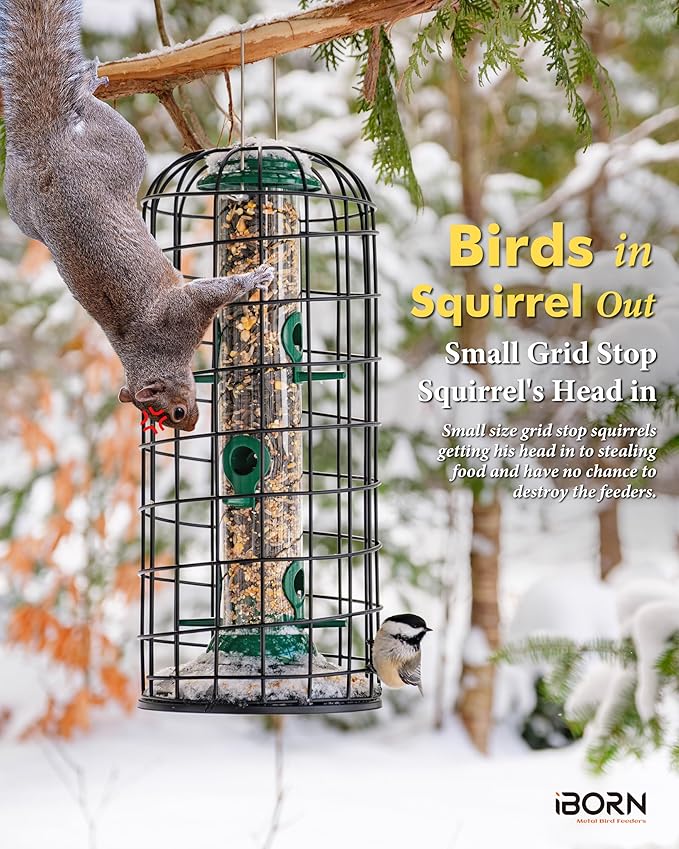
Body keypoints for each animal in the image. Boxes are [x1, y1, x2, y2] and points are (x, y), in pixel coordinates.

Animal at [0, 0, 273, 431]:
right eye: (174, 415)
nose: (191, 425)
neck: (154, 352)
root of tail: (46, 152)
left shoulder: (182, 313)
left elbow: (214, 291)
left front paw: (255, 277)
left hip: (110, 158)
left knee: (89, 110)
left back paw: (86, 85)